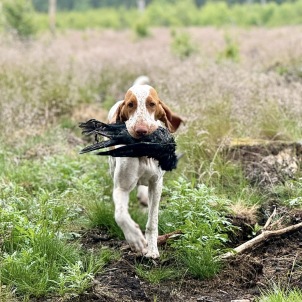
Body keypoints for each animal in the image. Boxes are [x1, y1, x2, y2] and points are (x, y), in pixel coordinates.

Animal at [107, 78, 182, 258]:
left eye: (152, 104)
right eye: (130, 105)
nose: (141, 130)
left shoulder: (156, 184)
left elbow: (152, 221)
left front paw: (152, 249)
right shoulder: (121, 187)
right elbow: (120, 214)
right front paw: (134, 238)